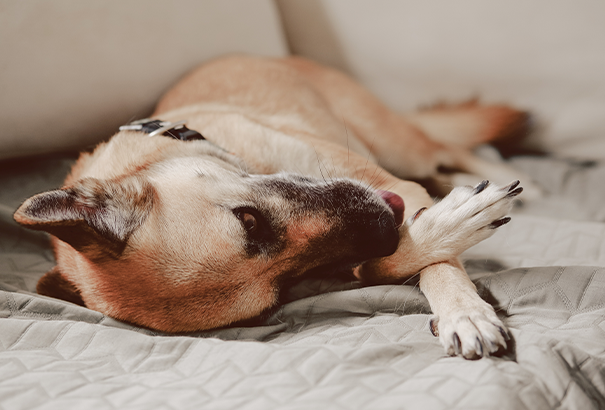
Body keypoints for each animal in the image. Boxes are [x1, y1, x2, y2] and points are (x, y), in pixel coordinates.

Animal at [14, 55, 528, 358]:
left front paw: (464, 310)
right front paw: (435, 238)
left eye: (249, 220)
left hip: (398, 145)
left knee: (450, 149)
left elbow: (433, 264)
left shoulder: (398, 184)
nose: (384, 228)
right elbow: (380, 266)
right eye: (282, 290)